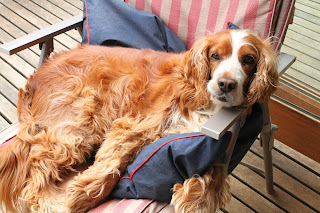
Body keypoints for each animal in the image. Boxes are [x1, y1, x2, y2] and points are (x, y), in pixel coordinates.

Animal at [0, 29, 278, 212]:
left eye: (248, 59)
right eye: (215, 56)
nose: (226, 84)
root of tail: (34, 78)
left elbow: (217, 168)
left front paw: (195, 197)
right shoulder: (133, 127)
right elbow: (112, 166)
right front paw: (83, 195)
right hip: (80, 120)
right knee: (37, 170)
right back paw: (52, 203)